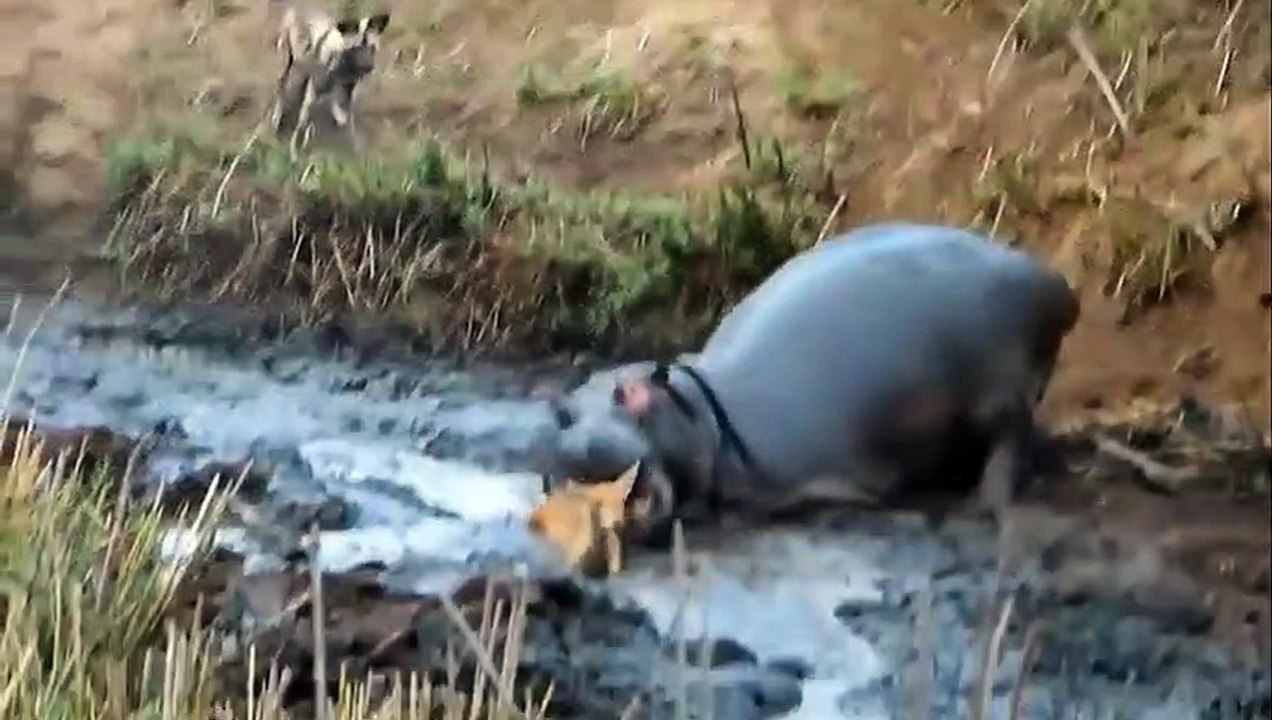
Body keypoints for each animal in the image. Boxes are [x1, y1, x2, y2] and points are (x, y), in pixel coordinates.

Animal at [549, 222, 1080, 537]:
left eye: (631, 393)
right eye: (562, 413)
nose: (576, 448)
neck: (704, 407)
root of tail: (1053, 283)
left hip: (997, 385)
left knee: (1011, 436)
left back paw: (982, 503)